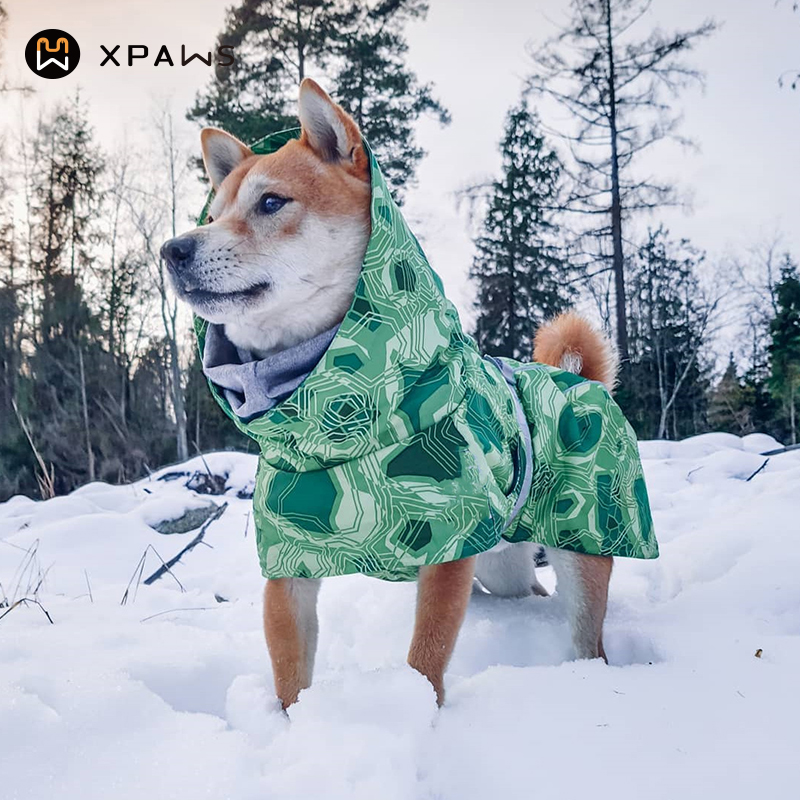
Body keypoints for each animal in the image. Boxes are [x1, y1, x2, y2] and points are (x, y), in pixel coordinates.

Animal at [161, 78, 619, 709]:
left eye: (271, 203)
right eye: (214, 214)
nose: (173, 251)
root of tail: (583, 380)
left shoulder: (448, 549)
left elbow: (427, 655)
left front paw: (420, 711)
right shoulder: (288, 562)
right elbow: (289, 672)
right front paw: (292, 724)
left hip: (583, 542)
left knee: (585, 633)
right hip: (500, 566)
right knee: (526, 592)